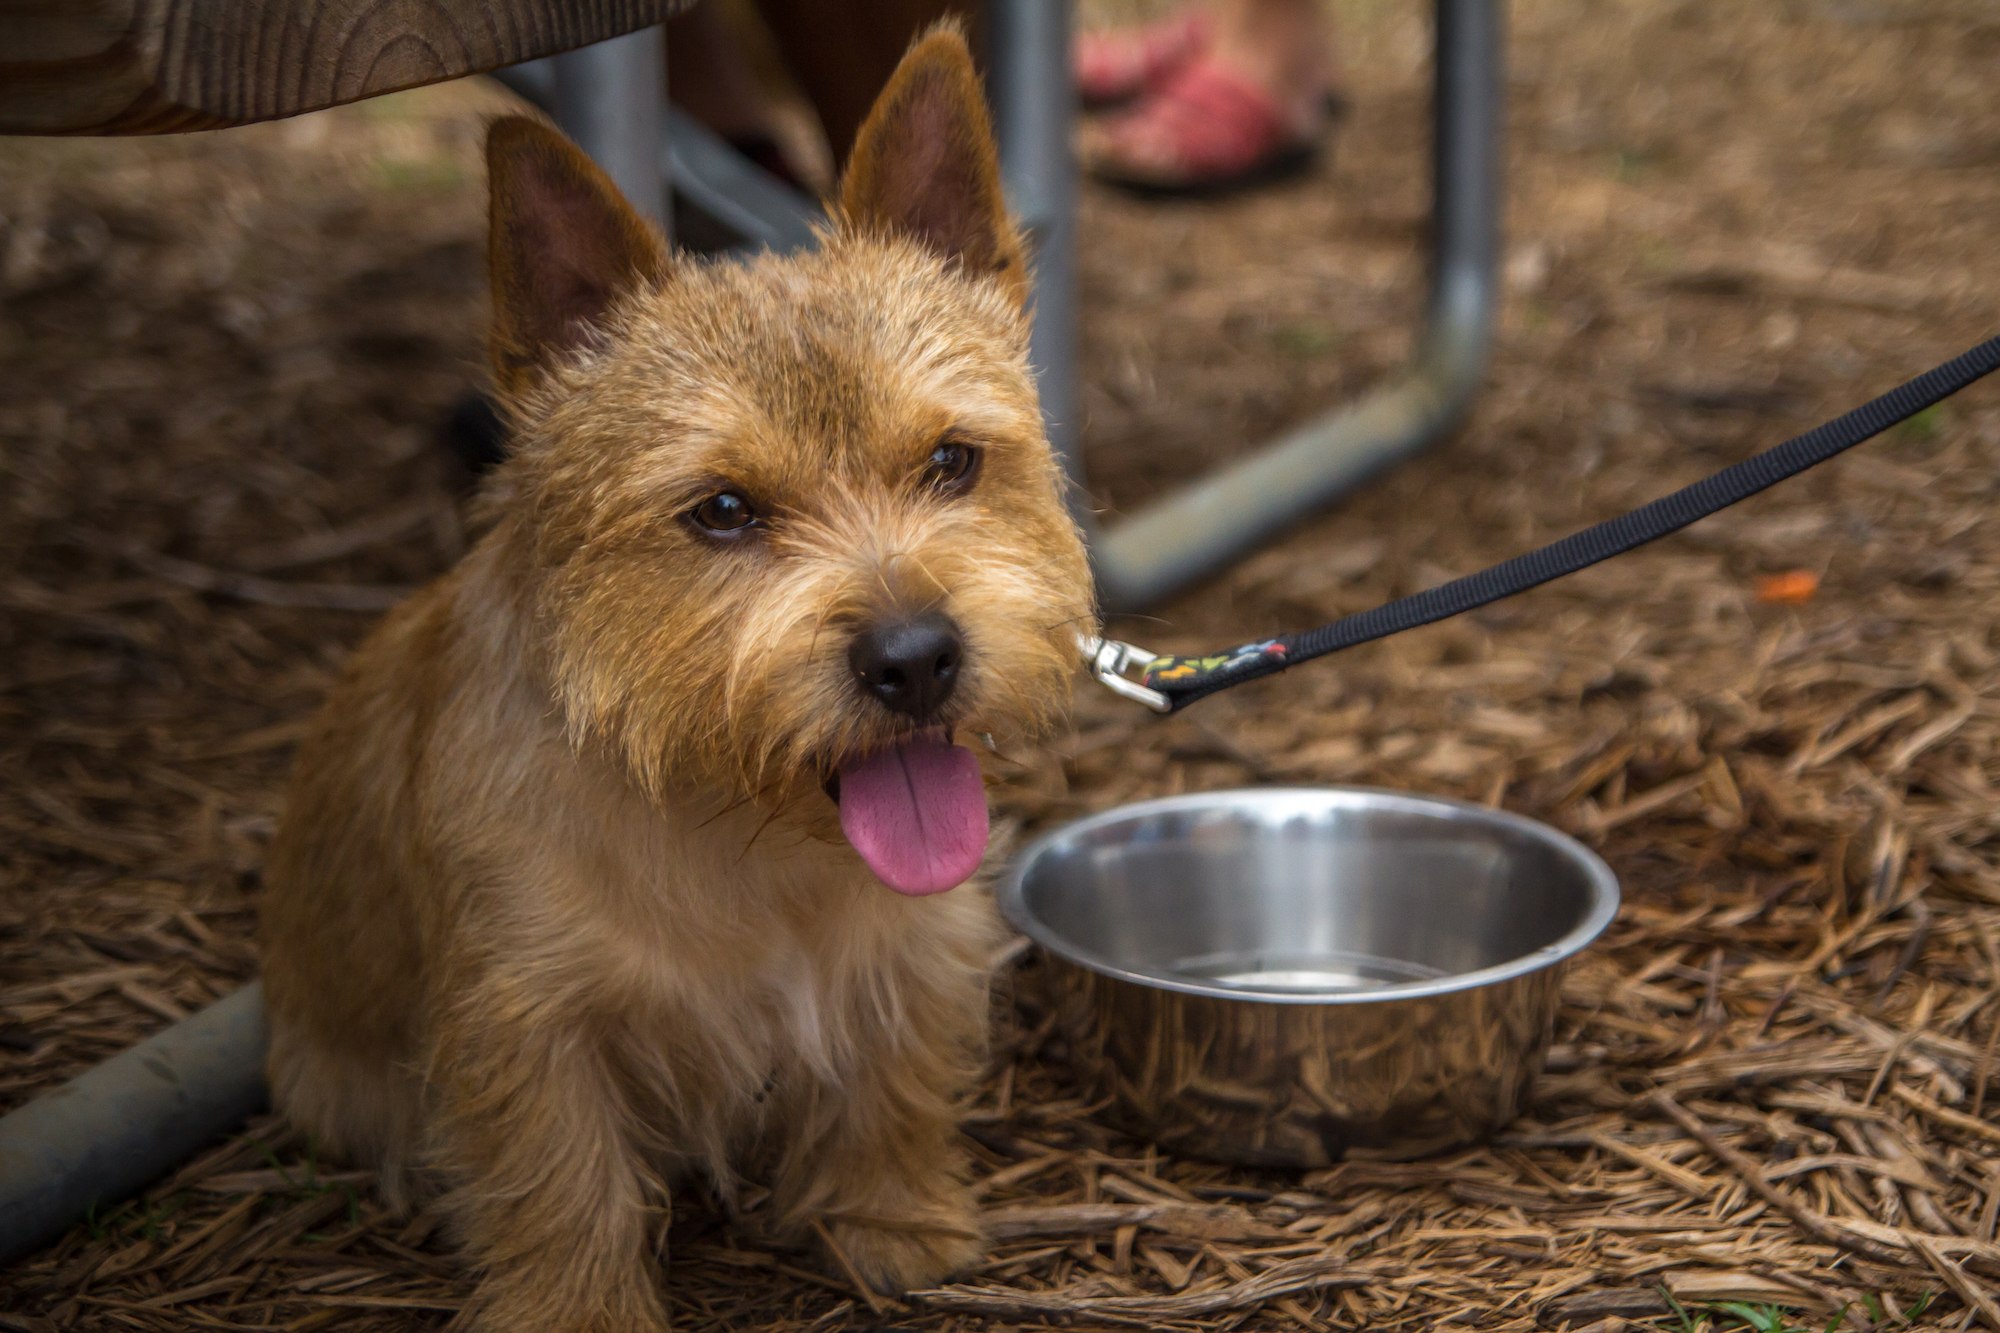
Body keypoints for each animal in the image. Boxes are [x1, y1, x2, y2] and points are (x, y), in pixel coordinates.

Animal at [260, 33, 1104, 1328]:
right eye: (721, 510)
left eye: (951, 461)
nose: (914, 657)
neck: (740, 836)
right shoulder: (527, 1018)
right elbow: (559, 1183)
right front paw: (575, 1311)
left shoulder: (915, 943)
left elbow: (894, 1083)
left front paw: (893, 1219)